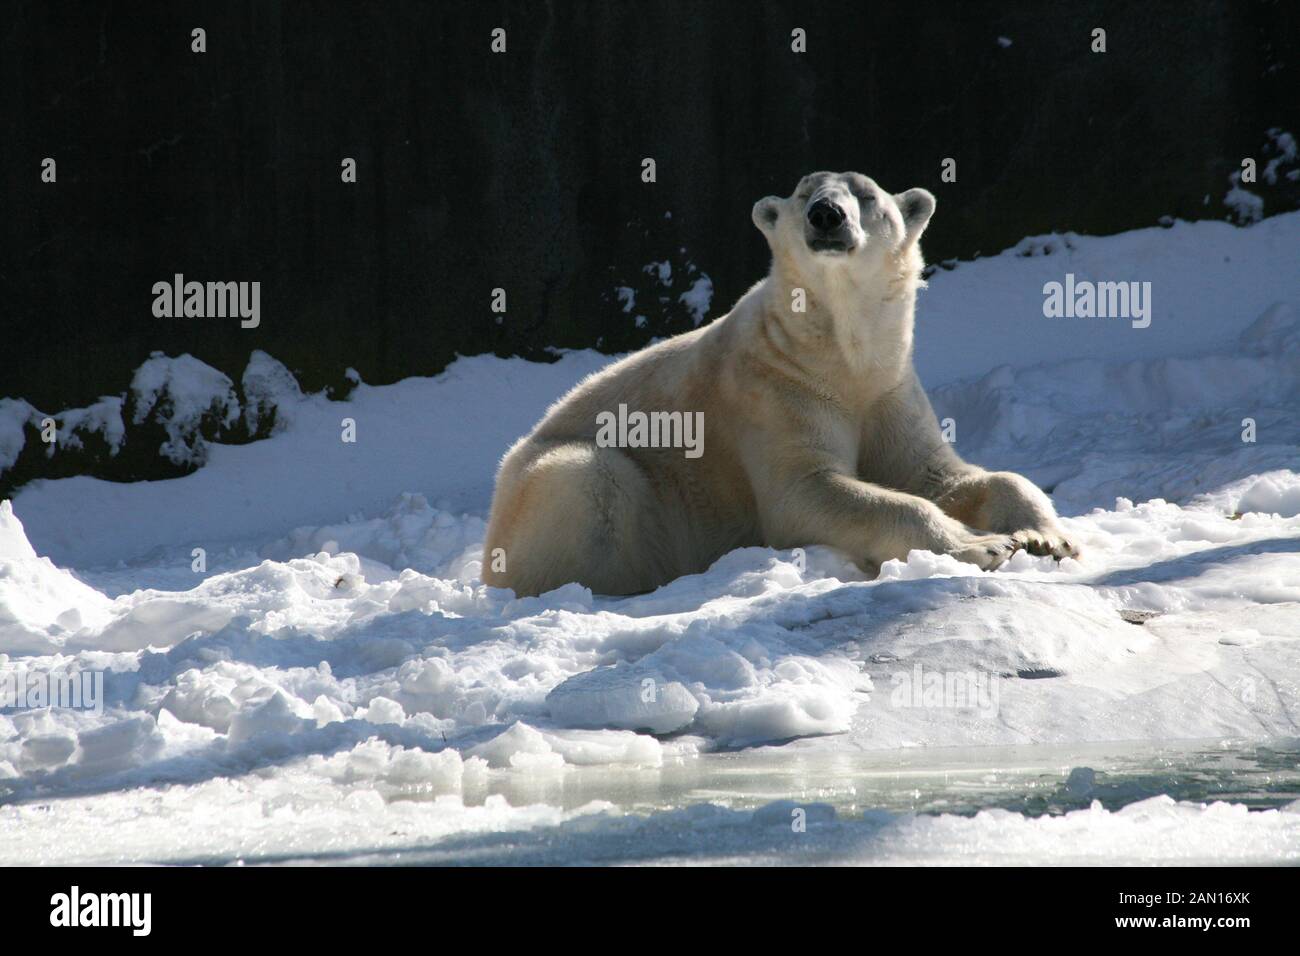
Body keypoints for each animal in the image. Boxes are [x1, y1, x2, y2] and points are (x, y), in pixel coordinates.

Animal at [483, 170, 1071, 590]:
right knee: (593, 479)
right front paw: (985, 546)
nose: (826, 215)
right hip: (551, 483)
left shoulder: (888, 389)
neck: (836, 356)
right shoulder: (775, 392)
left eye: (866, 195)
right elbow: (808, 489)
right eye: (805, 190)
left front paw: (1046, 537)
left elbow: (937, 474)